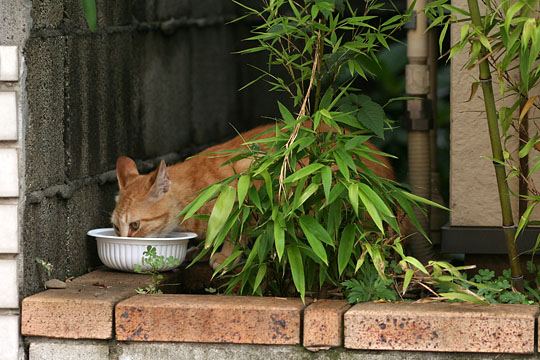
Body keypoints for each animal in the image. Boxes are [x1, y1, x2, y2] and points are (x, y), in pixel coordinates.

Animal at [110, 124, 396, 268]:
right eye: (115, 227)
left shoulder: (246, 181)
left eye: (135, 225)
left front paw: (226, 255)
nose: (122, 240)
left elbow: (237, 228)